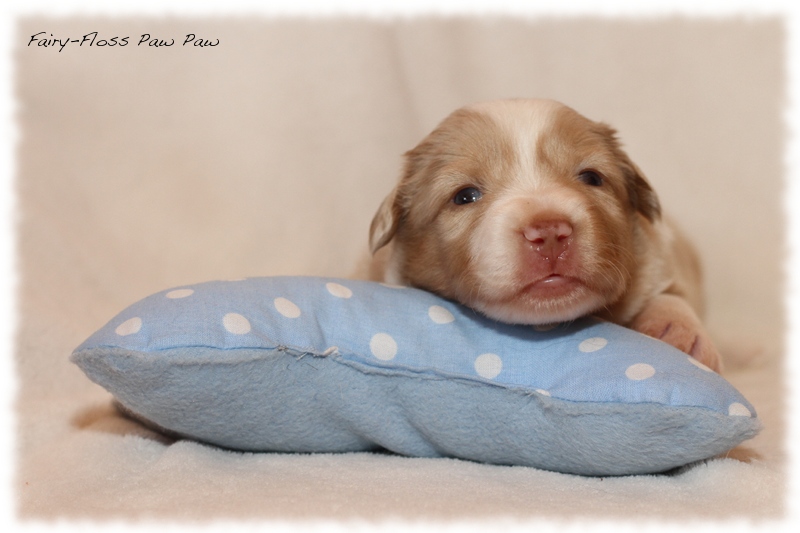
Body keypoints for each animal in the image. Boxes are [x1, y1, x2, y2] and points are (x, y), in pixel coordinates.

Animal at [368, 98, 724, 370]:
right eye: (464, 196)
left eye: (592, 178)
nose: (550, 232)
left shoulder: (663, 258)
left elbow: (671, 295)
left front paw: (676, 332)